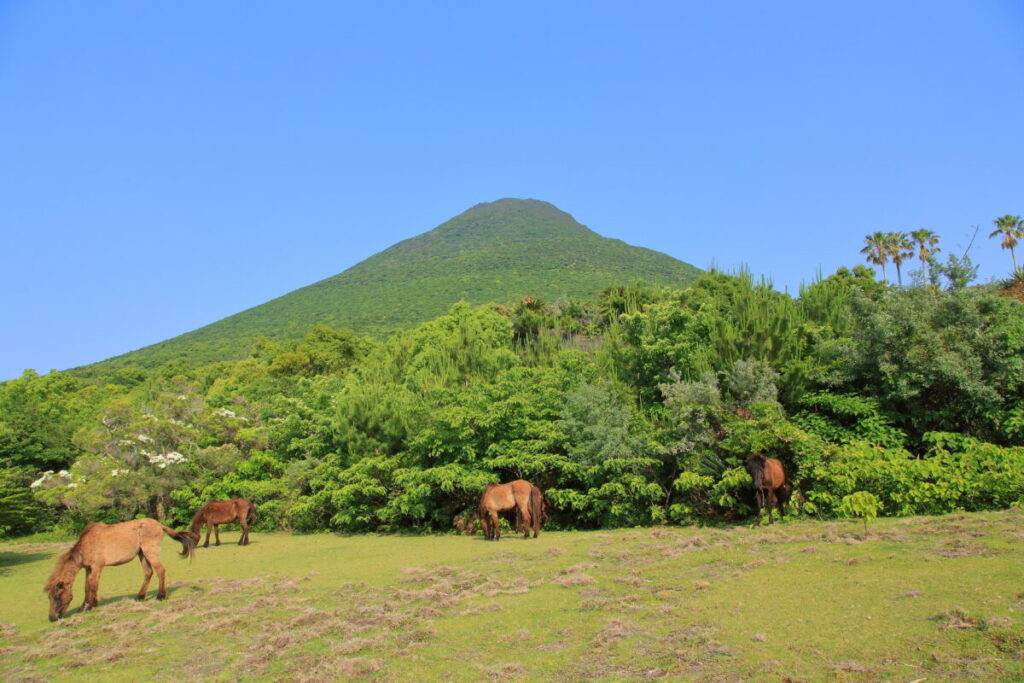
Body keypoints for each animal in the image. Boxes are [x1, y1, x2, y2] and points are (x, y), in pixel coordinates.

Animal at [43, 518, 197, 621]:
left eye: (57, 597)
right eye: (49, 597)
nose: (52, 618)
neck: (86, 545)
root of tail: (158, 524)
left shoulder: (97, 567)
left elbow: (93, 586)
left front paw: (90, 606)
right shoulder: (89, 568)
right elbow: (87, 587)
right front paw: (84, 606)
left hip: (150, 553)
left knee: (160, 570)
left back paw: (160, 596)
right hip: (142, 555)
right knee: (148, 573)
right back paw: (140, 597)